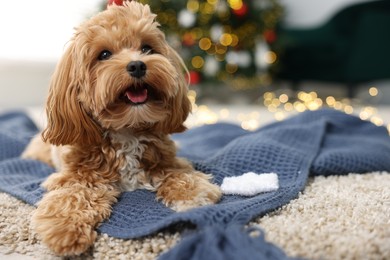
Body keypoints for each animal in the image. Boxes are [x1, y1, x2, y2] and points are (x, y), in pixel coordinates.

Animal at [22, 0, 222, 256]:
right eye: (104, 54)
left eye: (147, 48)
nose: (137, 65)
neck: (127, 130)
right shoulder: (77, 176)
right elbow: (72, 195)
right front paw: (64, 227)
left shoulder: (166, 161)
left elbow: (179, 174)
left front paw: (193, 192)